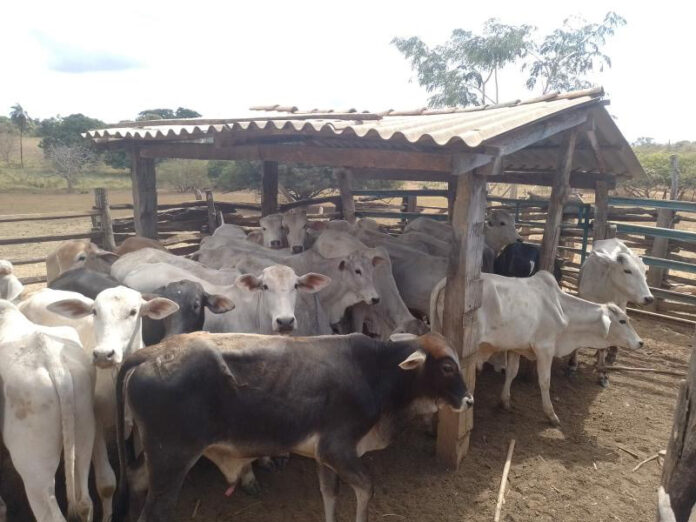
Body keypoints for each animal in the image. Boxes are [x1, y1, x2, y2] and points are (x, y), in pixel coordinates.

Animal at [25, 286, 178, 516]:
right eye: (95, 311)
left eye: (133, 312)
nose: (104, 354)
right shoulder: (95, 422)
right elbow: (106, 485)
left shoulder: (139, 425)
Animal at [114, 332, 474, 516]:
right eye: (446, 367)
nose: (469, 400)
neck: (373, 371)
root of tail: (150, 354)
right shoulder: (337, 449)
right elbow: (366, 490)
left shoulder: (324, 457)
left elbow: (330, 496)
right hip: (172, 462)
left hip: (156, 459)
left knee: (132, 478)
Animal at [432, 270, 644, 424]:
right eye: (623, 320)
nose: (640, 342)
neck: (563, 311)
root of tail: (445, 281)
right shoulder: (545, 348)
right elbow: (544, 381)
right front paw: (551, 415)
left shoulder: (515, 347)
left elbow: (512, 373)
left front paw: (505, 401)